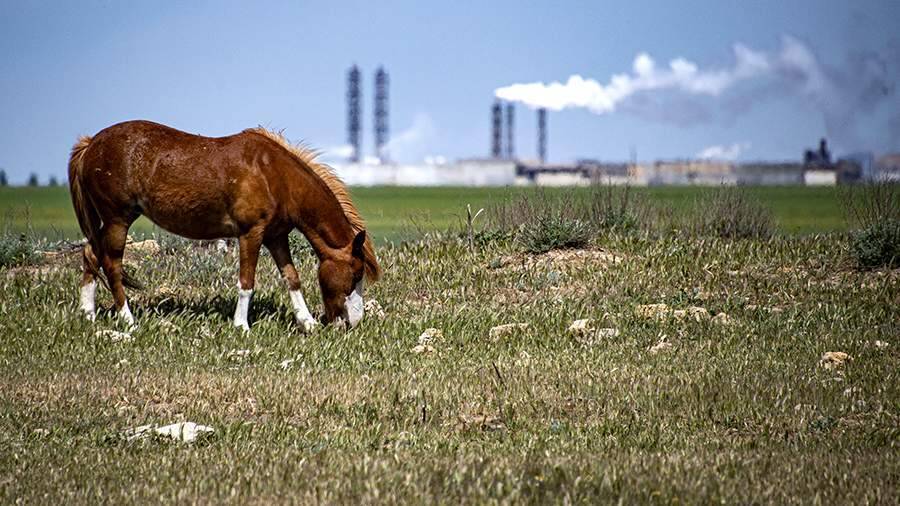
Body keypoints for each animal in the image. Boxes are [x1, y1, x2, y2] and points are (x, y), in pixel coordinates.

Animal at [67, 120, 382, 330]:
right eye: (356, 275)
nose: (353, 322)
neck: (274, 175)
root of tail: (91, 144)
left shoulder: (276, 237)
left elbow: (291, 278)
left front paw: (307, 323)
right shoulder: (250, 234)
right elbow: (246, 282)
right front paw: (241, 325)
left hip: (111, 221)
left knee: (91, 254)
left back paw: (88, 314)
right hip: (117, 219)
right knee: (111, 265)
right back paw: (128, 319)